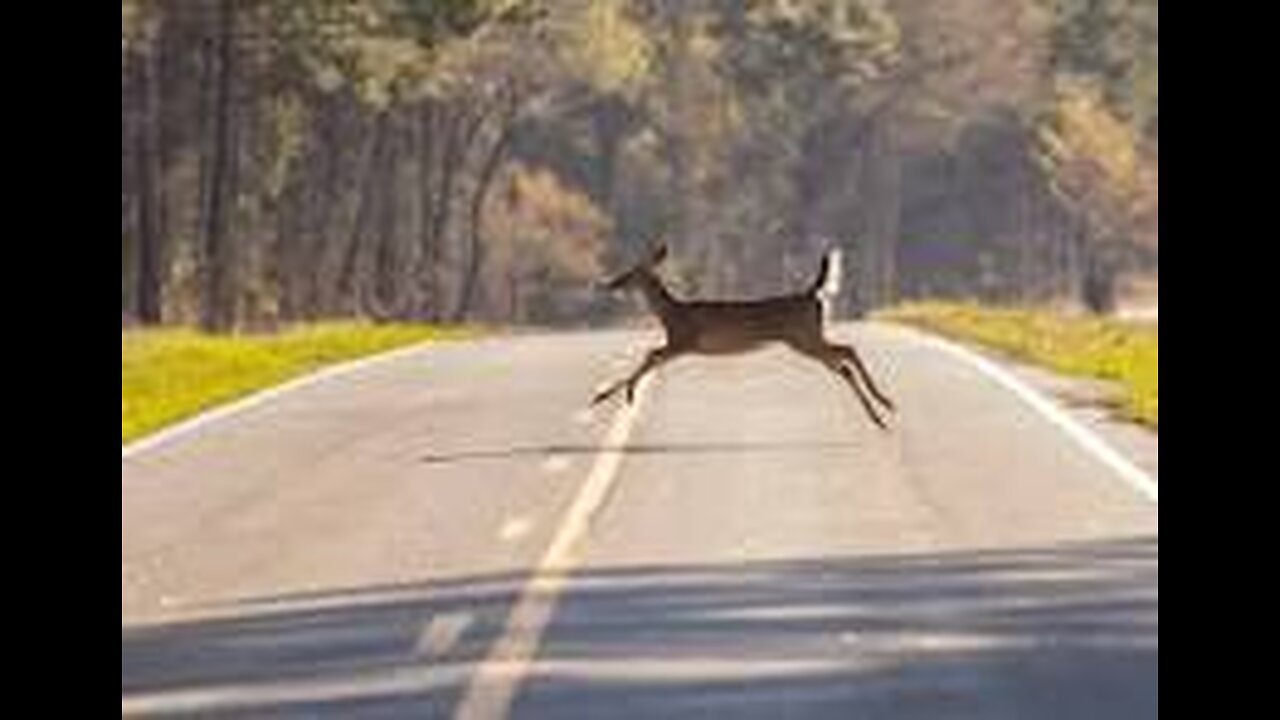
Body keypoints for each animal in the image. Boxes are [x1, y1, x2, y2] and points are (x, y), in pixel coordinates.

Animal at [593, 245, 896, 429]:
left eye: (632, 271)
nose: (610, 283)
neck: (671, 313)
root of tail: (813, 294)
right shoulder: (679, 344)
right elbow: (652, 358)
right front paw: (613, 394)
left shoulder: (685, 340)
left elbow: (650, 355)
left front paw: (617, 394)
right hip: (809, 337)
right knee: (844, 361)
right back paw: (881, 412)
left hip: (804, 337)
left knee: (847, 351)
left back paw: (884, 404)